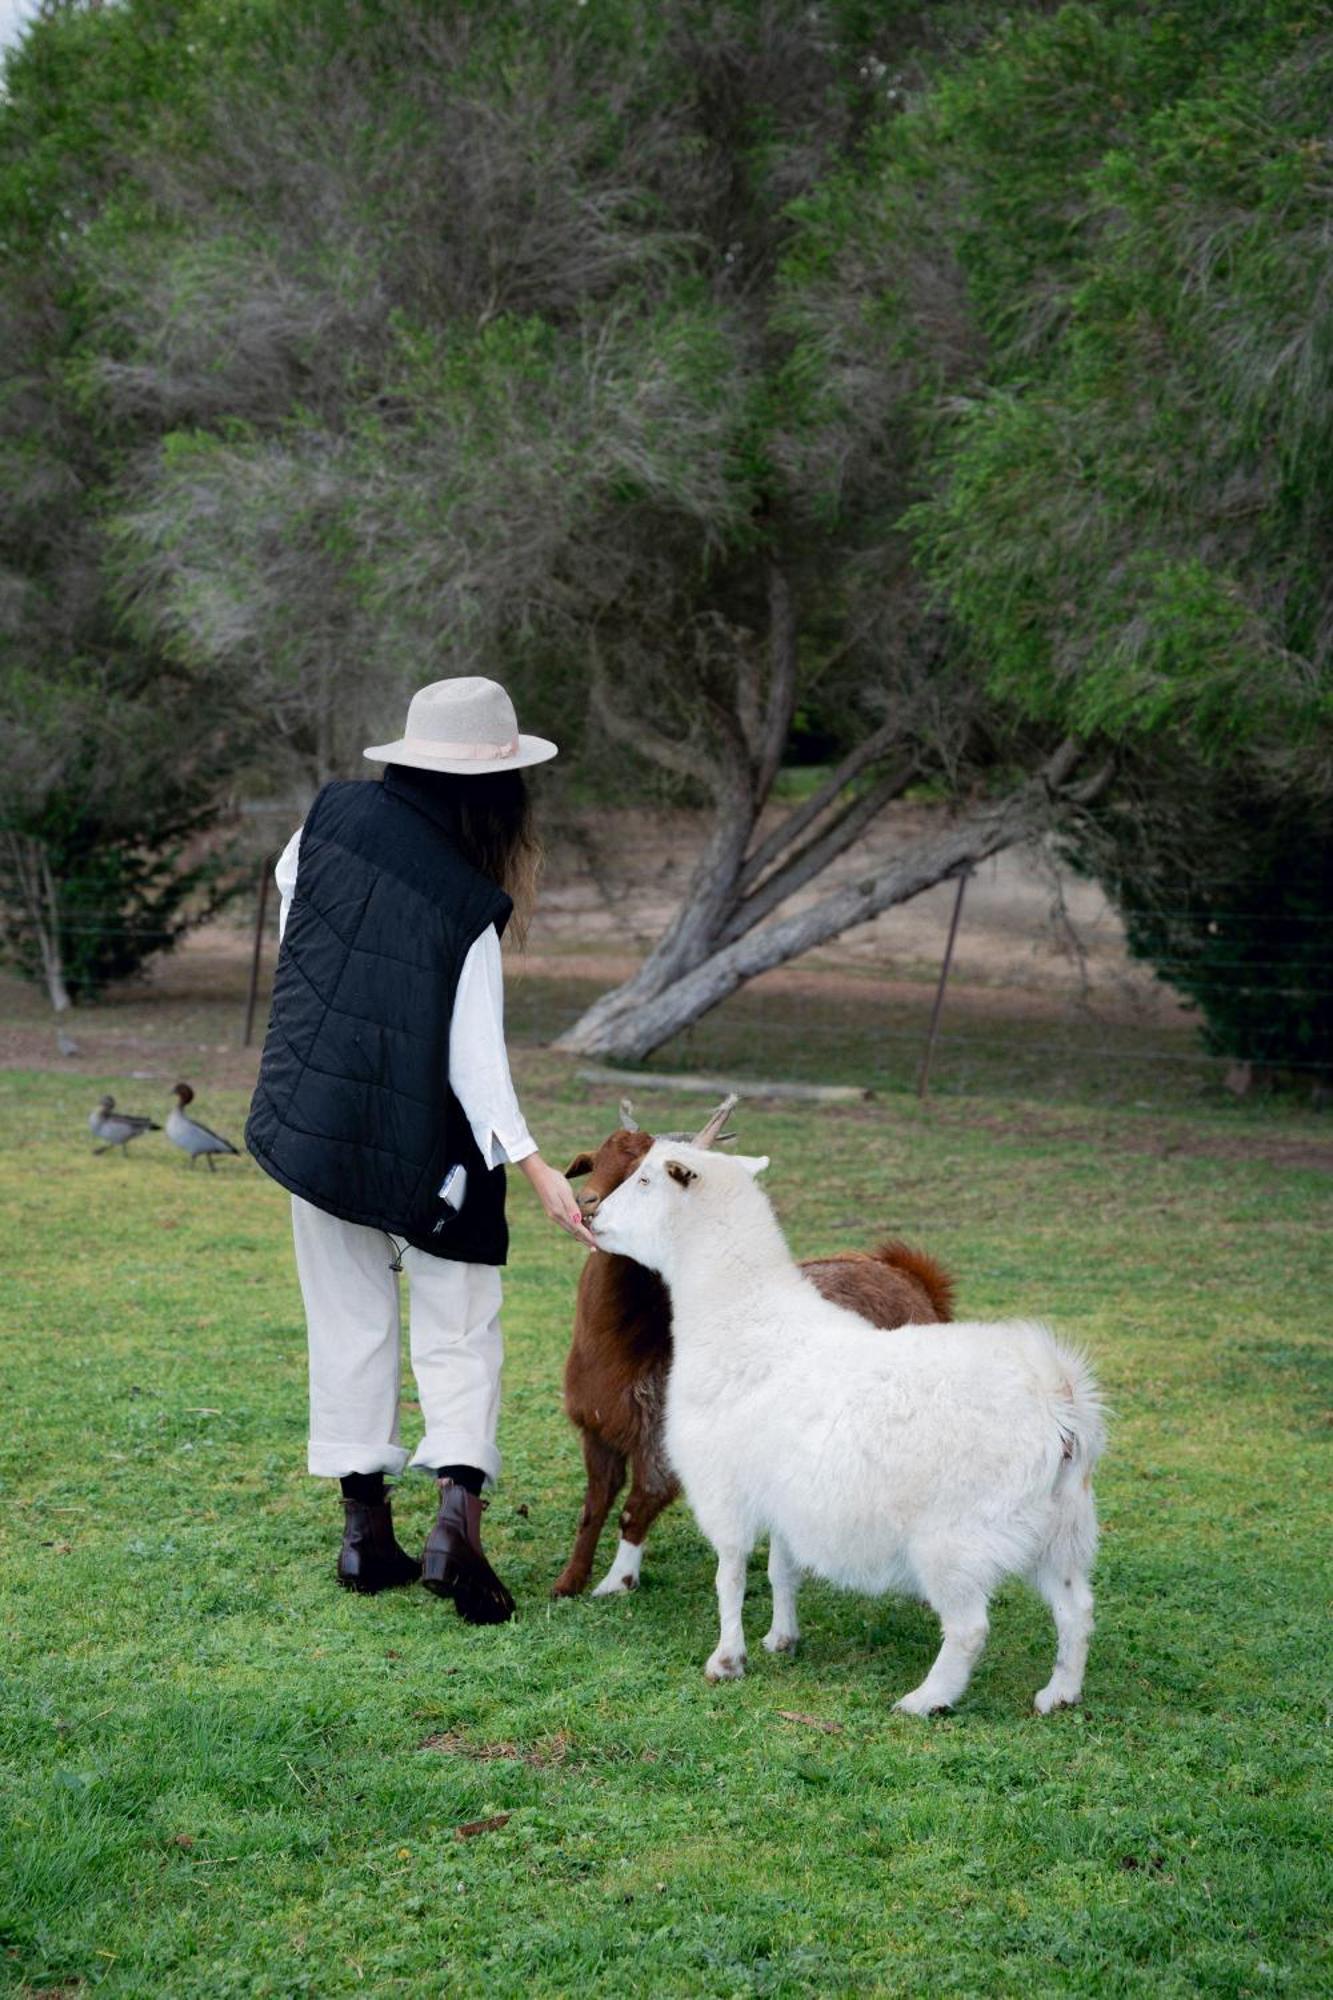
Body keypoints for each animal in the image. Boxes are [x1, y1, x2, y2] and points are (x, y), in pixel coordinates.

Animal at [552, 1104, 956, 1600]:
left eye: (639, 1175)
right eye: (595, 1160)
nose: (587, 1205)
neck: (626, 1346)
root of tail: (910, 1277)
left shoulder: (661, 1437)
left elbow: (637, 1506)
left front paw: (617, 1581)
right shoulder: (599, 1428)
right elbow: (594, 1506)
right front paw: (569, 1581)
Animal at [588, 1144, 1096, 1720]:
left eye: (645, 1180)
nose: (592, 1216)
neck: (744, 1320)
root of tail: (1057, 1399)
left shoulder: (724, 1490)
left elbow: (730, 1575)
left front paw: (726, 1660)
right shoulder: (784, 1498)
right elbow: (781, 1572)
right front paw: (781, 1639)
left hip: (955, 1541)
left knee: (970, 1628)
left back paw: (926, 1699)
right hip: (1063, 1530)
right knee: (1076, 1609)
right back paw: (1060, 1693)